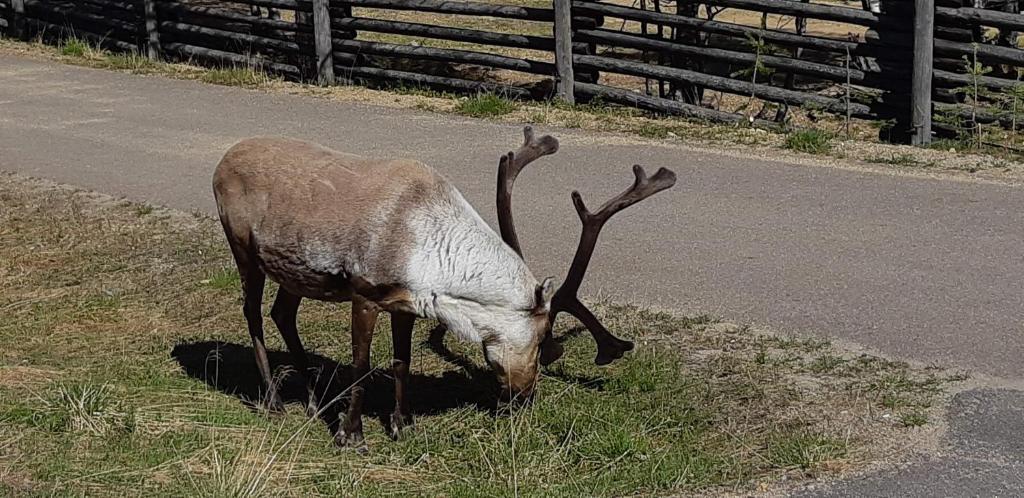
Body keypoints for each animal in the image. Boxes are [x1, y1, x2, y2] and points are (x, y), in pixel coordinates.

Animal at [212, 126, 675, 450]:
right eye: (546, 341)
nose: (525, 396)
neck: (427, 247)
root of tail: (222, 161)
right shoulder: (364, 292)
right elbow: (362, 366)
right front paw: (352, 436)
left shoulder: (403, 303)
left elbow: (401, 362)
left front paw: (403, 424)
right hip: (243, 247)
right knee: (252, 312)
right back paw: (274, 402)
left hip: (295, 272)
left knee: (282, 313)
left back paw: (315, 402)